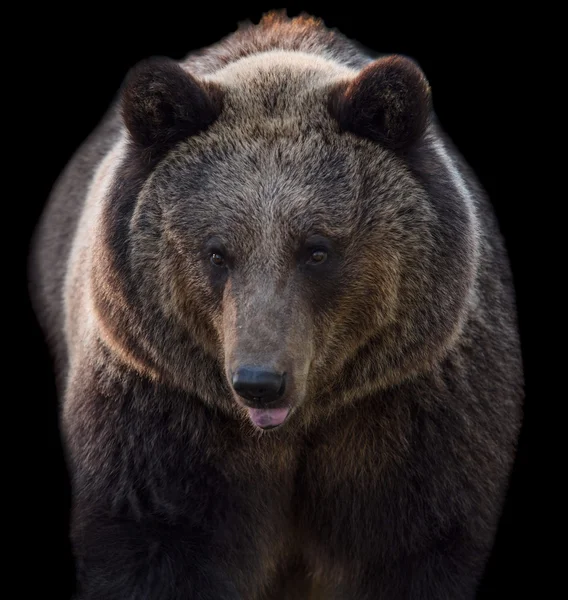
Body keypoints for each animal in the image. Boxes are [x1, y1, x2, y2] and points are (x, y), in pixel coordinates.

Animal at [27, 10, 524, 600]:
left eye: (317, 248)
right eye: (217, 251)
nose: (260, 380)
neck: (293, 429)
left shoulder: (411, 414)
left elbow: (416, 545)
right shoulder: (160, 414)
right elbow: (153, 538)